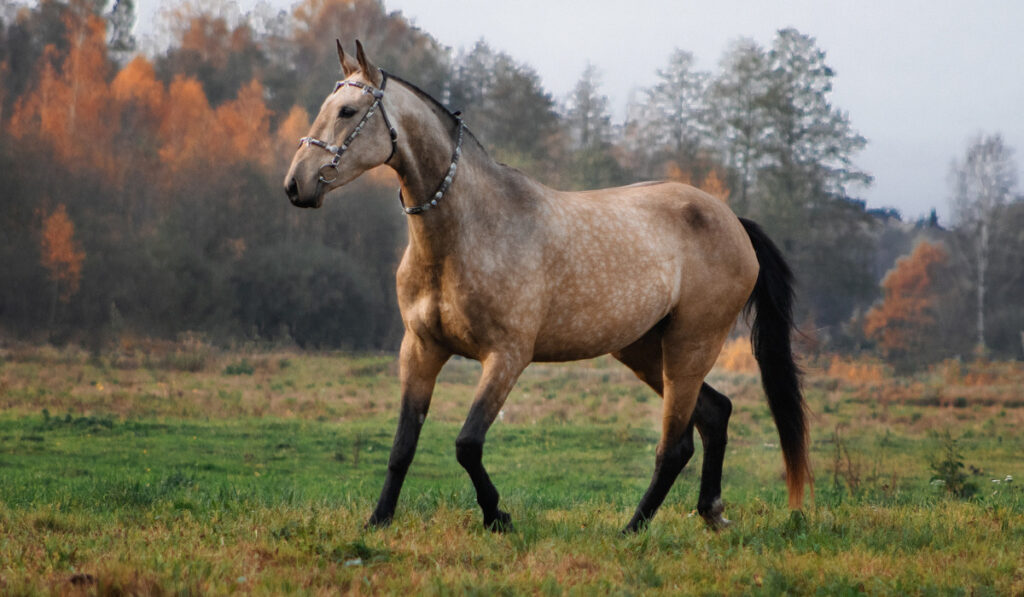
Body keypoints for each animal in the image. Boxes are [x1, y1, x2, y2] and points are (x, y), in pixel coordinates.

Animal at [280, 40, 806, 532]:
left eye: (348, 111)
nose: (296, 185)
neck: (468, 233)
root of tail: (733, 222)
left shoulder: (507, 356)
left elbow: (467, 444)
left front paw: (497, 516)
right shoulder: (421, 349)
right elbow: (402, 446)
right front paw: (379, 520)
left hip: (688, 346)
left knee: (674, 446)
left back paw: (632, 530)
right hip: (644, 349)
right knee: (715, 413)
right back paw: (709, 512)